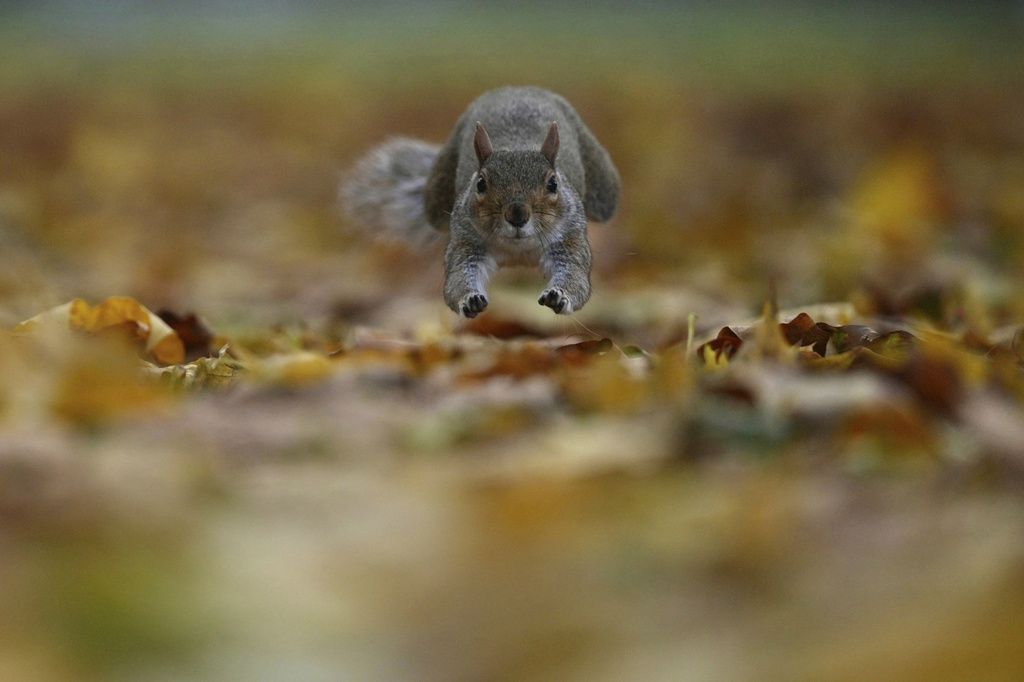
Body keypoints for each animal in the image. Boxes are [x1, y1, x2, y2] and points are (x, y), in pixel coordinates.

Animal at [341, 86, 620, 318]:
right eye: (480, 183)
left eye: (553, 184)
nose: (517, 215)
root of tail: (518, 88)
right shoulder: (466, 240)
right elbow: (458, 277)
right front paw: (469, 299)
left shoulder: (569, 239)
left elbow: (575, 275)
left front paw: (560, 295)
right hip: (435, 198)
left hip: (604, 193)